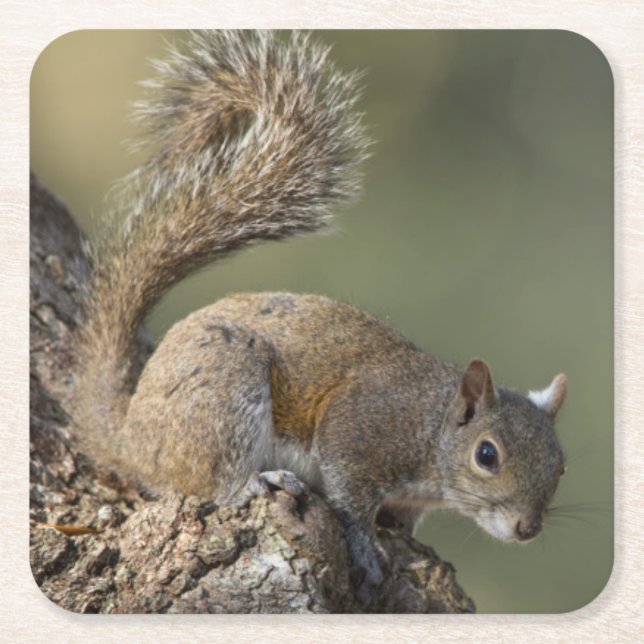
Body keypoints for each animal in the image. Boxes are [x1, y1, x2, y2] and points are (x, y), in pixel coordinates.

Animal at [70, 30, 568, 606]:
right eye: (487, 455)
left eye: (561, 464)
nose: (527, 528)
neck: (431, 426)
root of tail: (130, 435)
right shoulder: (359, 429)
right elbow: (351, 496)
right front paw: (366, 547)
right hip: (225, 392)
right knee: (208, 480)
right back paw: (254, 482)